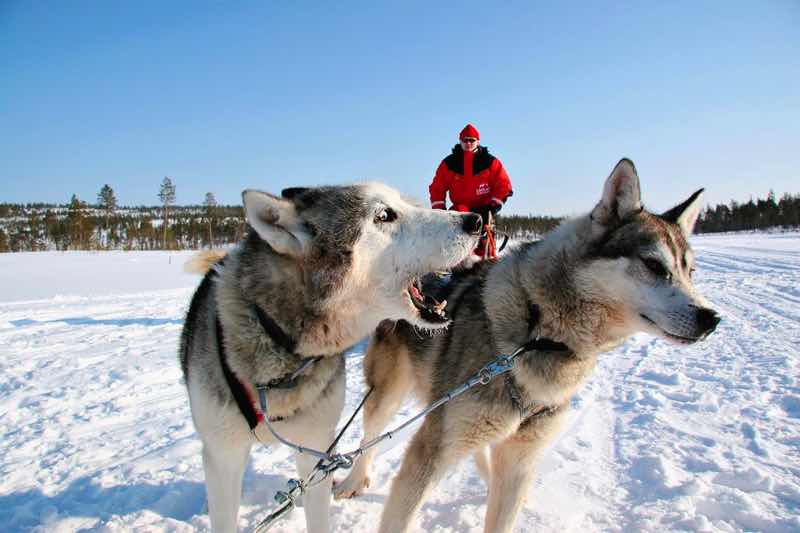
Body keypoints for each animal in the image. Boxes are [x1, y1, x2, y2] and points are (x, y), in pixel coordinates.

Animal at [334, 159, 720, 532]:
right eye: (653, 264)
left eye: (690, 271)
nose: (711, 318)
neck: (538, 331)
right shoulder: (431, 451)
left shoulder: (520, 459)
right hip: (388, 392)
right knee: (370, 435)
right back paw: (354, 480)